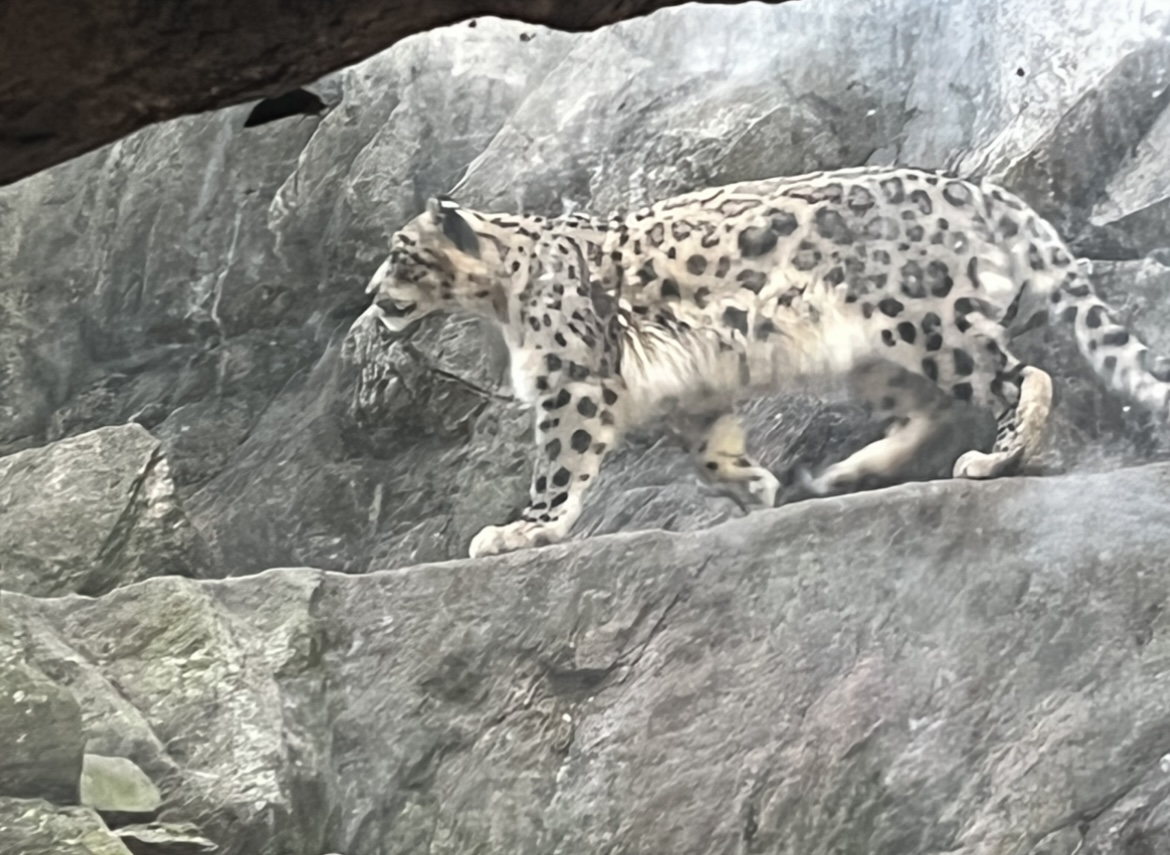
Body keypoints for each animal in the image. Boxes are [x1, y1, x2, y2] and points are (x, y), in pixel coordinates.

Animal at [356, 165, 1170, 559]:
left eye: (401, 253)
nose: (369, 295)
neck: (501, 301)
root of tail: (980, 190)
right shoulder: (692, 391)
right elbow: (709, 453)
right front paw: (755, 488)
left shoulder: (572, 381)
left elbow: (557, 466)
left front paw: (522, 531)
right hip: (875, 353)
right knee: (927, 409)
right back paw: (843, 475)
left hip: (925, 319)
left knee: (1017, 376)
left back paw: (995, 458)